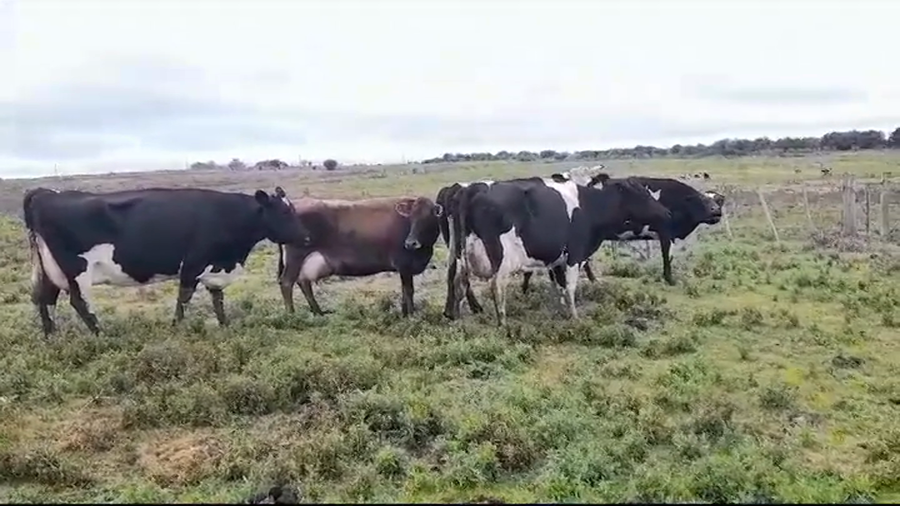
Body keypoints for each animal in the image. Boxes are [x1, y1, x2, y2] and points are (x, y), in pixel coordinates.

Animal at [24, 186, 311, 337]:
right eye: (284, 212)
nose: (306, 237)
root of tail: (46, 193)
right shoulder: (193, 264)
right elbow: (183, 299)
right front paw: (176, 329)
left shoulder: (215, 268)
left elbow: (217, 299)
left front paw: (225, 326)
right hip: (76, 269)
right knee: (78, 302)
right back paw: (101, 335)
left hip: (50, 269)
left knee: (45, 299)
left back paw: (51, 337)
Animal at [277, 195, 443, 317]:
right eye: (412, 217)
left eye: (429, 216)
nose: (410, 243)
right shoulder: (404, 264)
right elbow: (409, 291)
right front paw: (411, 315)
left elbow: (404, 291)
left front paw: (404, 313)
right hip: (295, 256)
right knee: (287, 282)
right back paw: (291, 314)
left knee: (303, 282)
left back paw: (318, 312)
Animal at [445, 175, 671, 326]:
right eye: (642, 195)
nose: (666, 212)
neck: (588, 206)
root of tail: (471, 188)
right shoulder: (575, 254)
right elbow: (570, 287)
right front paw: (574, 317)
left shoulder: (557, 259)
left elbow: (559, 286)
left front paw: (561, 310)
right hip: (501, 257)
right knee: (497, 287)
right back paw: (503, 325)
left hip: (458, 253)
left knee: (457, 280)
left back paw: (457, 319)